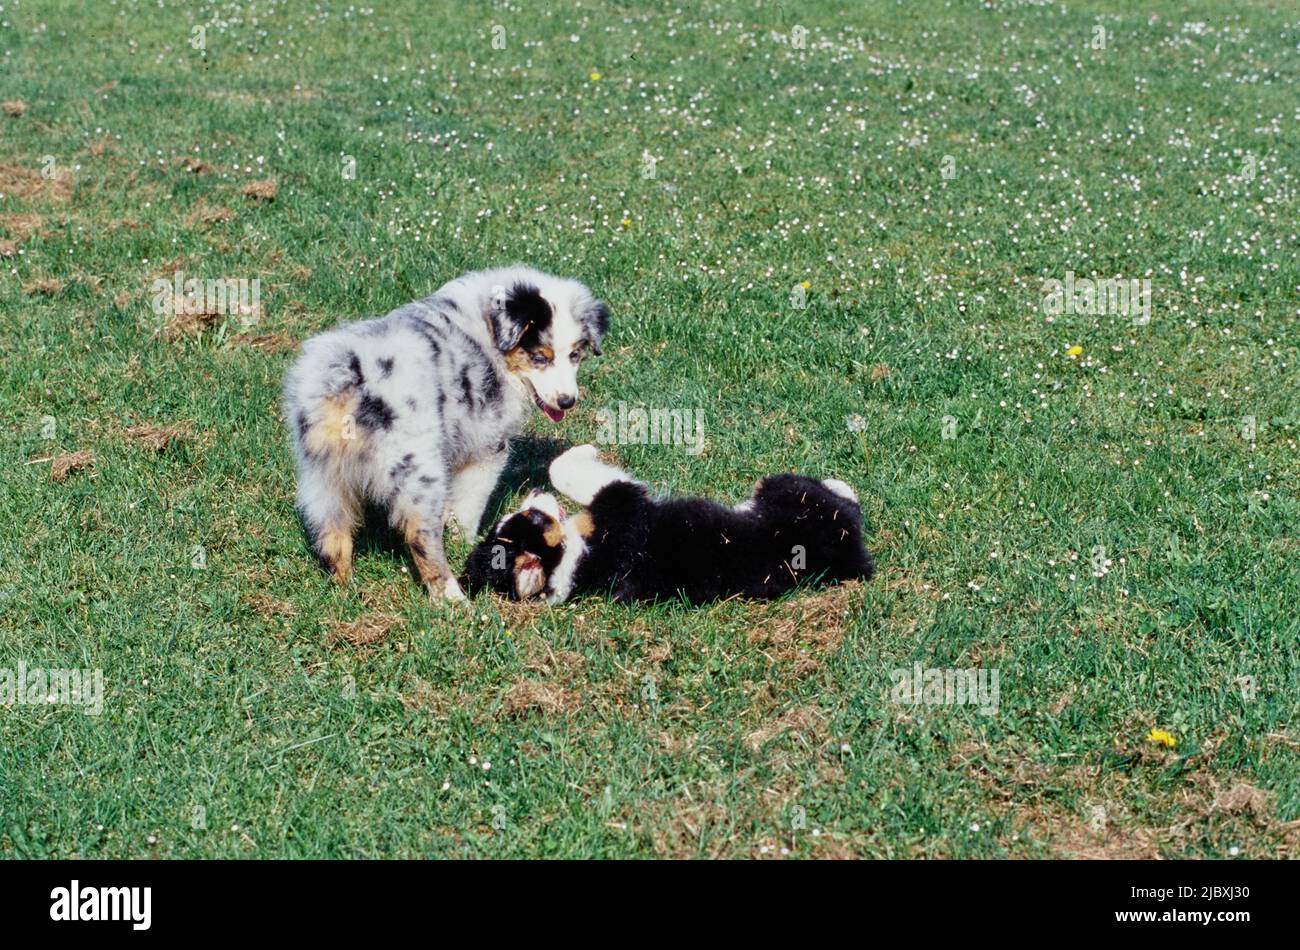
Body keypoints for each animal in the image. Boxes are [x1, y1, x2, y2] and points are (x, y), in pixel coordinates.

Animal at [282, 265, 605, 603]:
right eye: (540, 357)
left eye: (575, 355)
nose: (567, 401)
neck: (488, 331)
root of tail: (344, 377)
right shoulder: (488, 447)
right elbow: (469, 505)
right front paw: (471, 541)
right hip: (419, 466)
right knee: (419, 533)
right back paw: (452, 597)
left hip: (321, 474)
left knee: (332, 529)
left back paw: (344, 590)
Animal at [465, 444, 873, 603]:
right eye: (533, 518)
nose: (534, 492)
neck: (578, 561)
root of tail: (854, 559)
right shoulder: (623, 503)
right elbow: (567, 470)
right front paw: (583, 452)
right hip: (789, 491)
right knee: (842, 500)